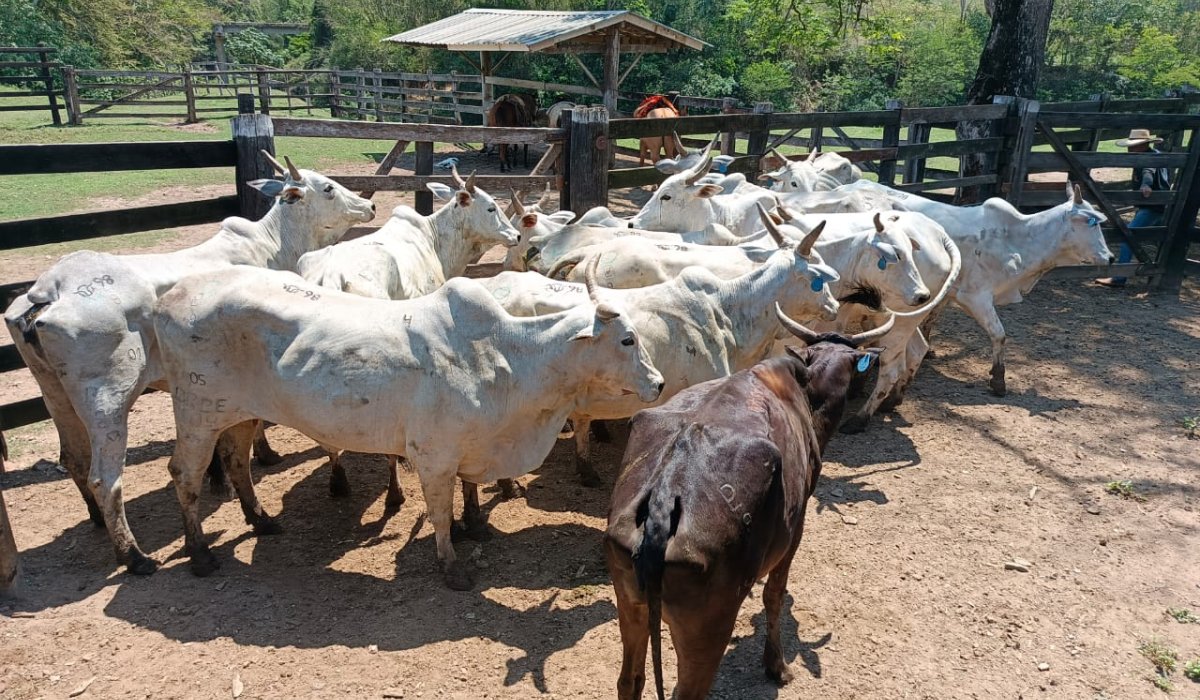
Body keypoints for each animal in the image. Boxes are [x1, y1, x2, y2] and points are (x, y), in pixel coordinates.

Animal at [2, 153, 376, 574]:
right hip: (107, 397)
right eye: (327, 188)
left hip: (53, 390)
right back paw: (134, 555)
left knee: (73, 458)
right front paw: (255, 459)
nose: (370, 207)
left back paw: (98, 519)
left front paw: (222, 474)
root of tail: (47, 294)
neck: (274, 244)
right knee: (105, 476)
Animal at [152, 261, 664, 590]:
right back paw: (200, 554)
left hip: (238, 413)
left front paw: (472, 525)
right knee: (186, 475)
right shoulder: (433, 456)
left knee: (237, 462)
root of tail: (168, 298)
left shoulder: (466, 449)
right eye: (627, 339)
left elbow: (467, 492)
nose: (658, 382)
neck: (508, 358)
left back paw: (262, 521)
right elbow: (438, 512)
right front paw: (452, 565)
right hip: (198, 413)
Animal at [604, 304, 887, 700]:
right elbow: (774, 595)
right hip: (709, 624)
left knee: (630, 680)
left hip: (629, 601)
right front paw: (776, 665)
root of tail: (663, 498)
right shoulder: (795, 532)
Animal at [839, 180, 1113, 395]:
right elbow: (999, 334)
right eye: (1091, 222)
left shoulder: (944, 295)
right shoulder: (976, 297)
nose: (1110, 257)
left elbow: (930, 321)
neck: (1017, 240)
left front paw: (928, 351)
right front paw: (998, 379)